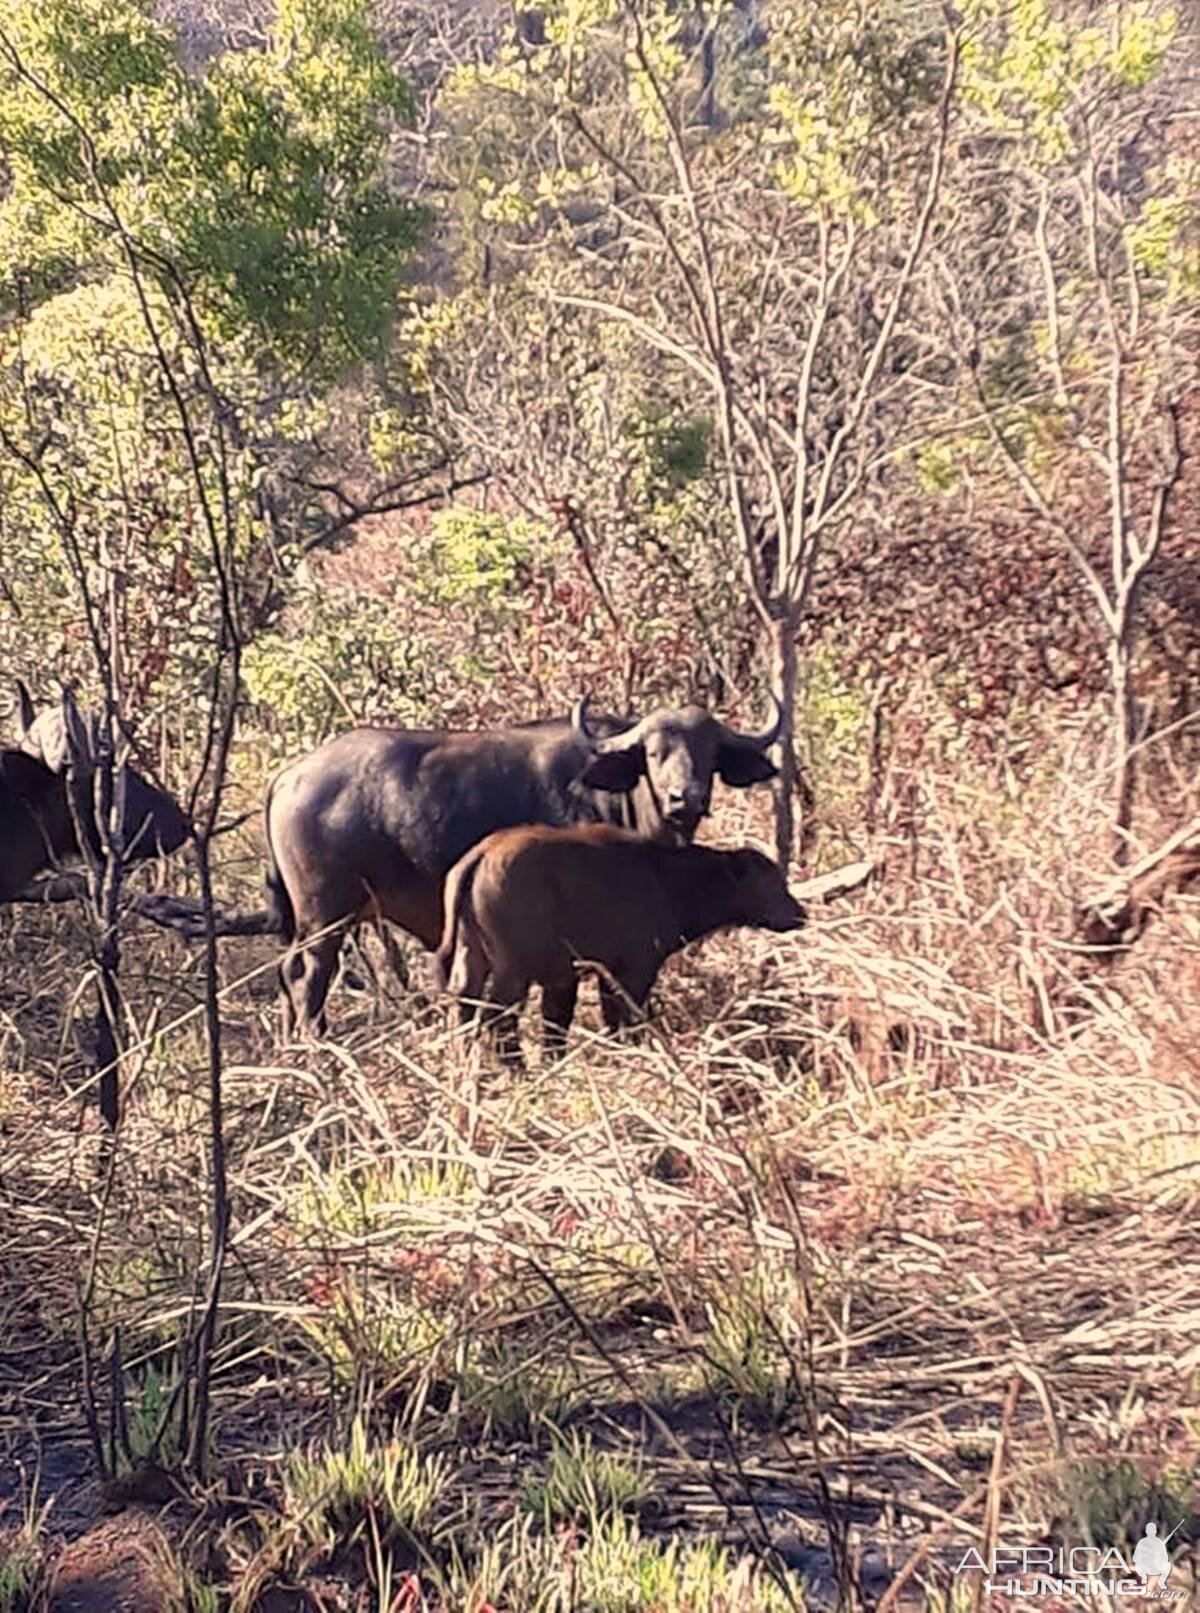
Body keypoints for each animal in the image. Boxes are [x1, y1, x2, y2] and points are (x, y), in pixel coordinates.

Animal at [262, 700, 783, 1038]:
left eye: (709, 755)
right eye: (654, 753)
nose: (685, 799)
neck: (624, 796)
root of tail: (289, 776)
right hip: (324, 917)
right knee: (307, 976)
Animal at [432, 825, 806, 1064]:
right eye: (769, 881)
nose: (799, 914)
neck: (668, 879)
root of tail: (481, 855)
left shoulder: (572, 976)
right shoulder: (634, 970)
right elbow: (624, 1020)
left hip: (470, 954)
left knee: (463, 1003)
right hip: (513, 969)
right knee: (497, 1017)